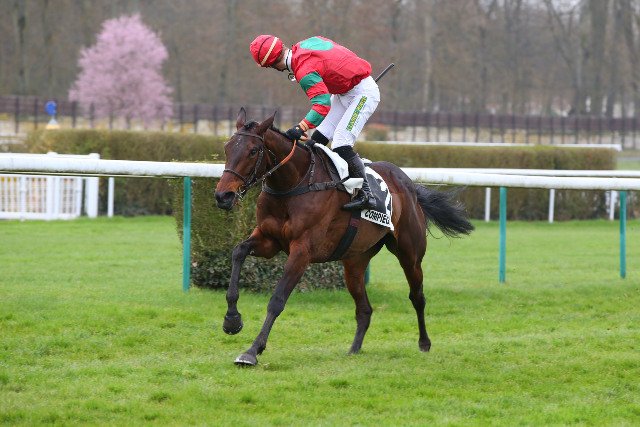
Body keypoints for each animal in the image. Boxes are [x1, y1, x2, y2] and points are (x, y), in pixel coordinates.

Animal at [214, 108, 474, 366]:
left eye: (253, 151)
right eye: (227, 148)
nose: (223, 196)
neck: (294, 184)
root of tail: (409, 184)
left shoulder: (302, 251)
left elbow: (277, 300)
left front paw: (252, 351)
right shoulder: (269, 240)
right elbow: (238, 252)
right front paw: (232, 320)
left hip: (410, 254)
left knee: (417, 296)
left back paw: (424, 343)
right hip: (355, 261)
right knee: (365, 309)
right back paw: (354, 349)